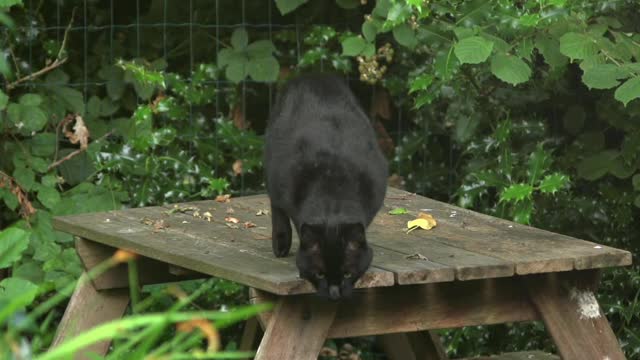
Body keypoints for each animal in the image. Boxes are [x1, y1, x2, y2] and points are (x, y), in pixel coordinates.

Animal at [264, 73, 388, 298]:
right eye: (319, 274)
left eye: (347, 274)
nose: (334, 293)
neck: (332, 198)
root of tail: (313, 75)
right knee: (277, 210)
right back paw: (281, 244)